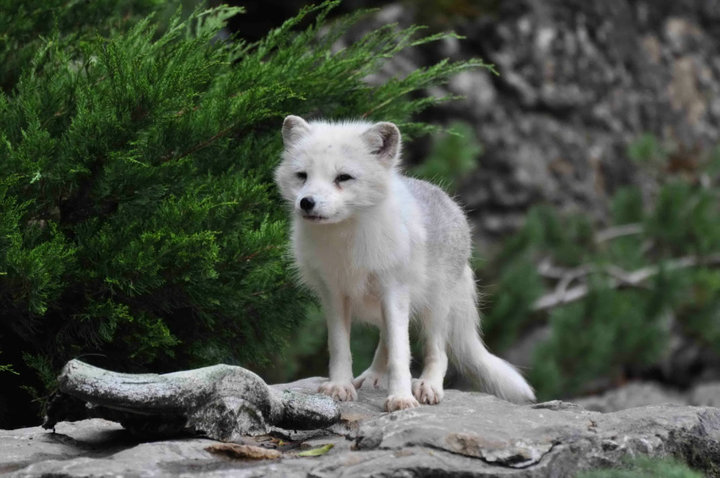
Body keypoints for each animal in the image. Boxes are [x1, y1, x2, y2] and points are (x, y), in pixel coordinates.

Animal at [276, 116, 536, 410]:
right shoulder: (334, 294)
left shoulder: (394, 290)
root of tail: (450, 203)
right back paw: (372, 377)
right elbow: (340, 347)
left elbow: (402, 353)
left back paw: (428, 386)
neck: (346, 241)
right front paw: (340, 386)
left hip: (435, 307)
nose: (306, 202)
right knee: (385, 343)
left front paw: (400, 398)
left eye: (343, 177)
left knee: (437, 353)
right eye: (302, 176)